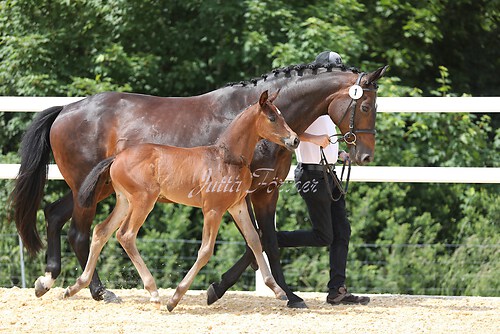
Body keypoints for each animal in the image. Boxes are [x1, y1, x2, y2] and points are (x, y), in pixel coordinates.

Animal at [62, 90, 296, 310]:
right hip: (143, 201)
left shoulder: (237, 206)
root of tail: (117, 157)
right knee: (125, 235)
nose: (294, 139)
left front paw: (278, 290)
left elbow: (254, 240)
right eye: (272, 118)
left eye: (282, 115)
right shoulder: (213, 210)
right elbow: (205, 251)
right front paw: (175, 297)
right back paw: (154, 292)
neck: (226, 159)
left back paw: (77, 286)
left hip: (124, 201)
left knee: (101, 231)